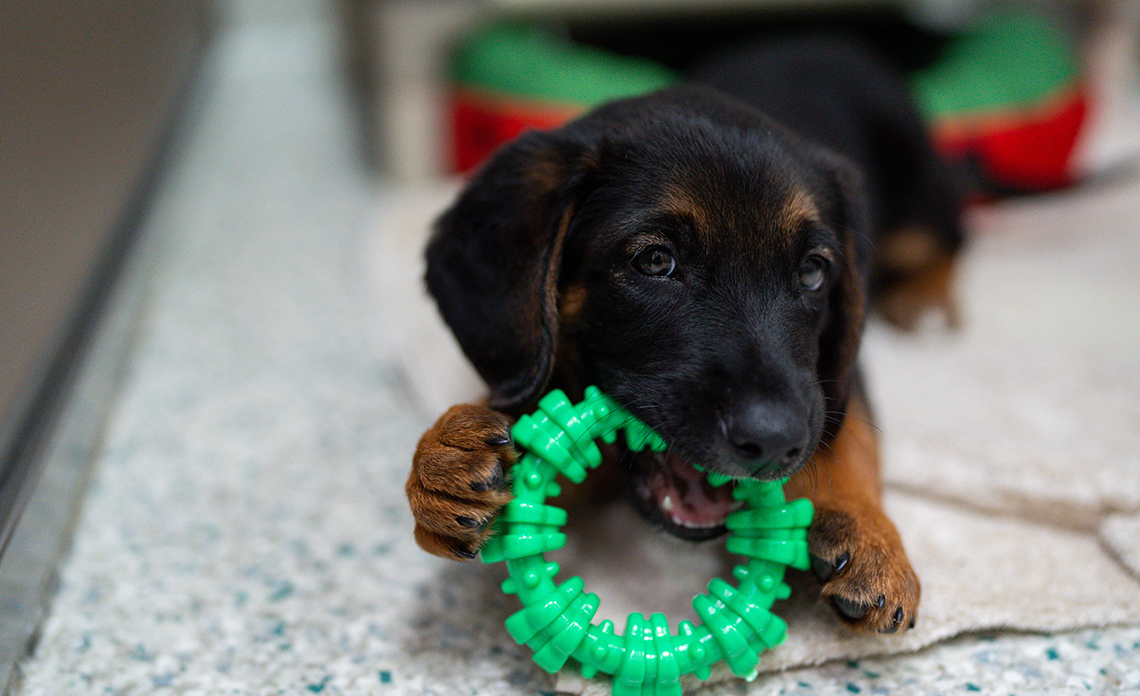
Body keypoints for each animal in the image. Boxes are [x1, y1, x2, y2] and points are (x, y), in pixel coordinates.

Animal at [408, 38, 962, 637]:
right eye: (655, 261)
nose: (774, 442)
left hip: (917, 199)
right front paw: (445, 458)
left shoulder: (835, 368)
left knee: (951, 235)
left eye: (814, 271)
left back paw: (927, 302)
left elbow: (849, 429)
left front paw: (865, 529)